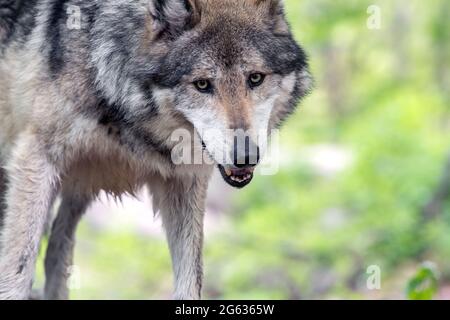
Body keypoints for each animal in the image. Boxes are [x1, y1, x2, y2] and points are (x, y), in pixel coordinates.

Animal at [0, 0, 312, 300]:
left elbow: (191, 282)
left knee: (56, 254)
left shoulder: (184, 183)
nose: (245, 155)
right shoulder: (36, 159)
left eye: (255, 78)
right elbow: (17, 271)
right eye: (202, 84)